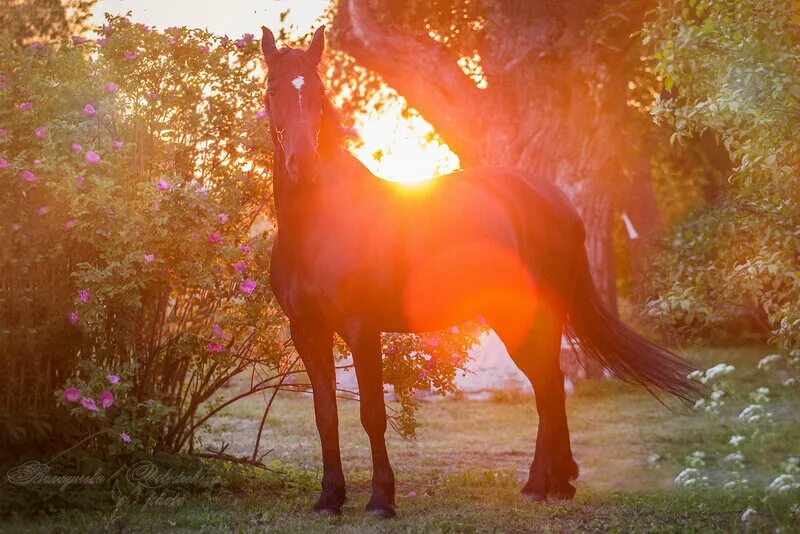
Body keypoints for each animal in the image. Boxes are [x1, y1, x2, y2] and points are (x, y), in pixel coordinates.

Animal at [260, 24, 696, 520]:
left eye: (316, 92)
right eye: (273, 90)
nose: (303, 162)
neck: (321, 224)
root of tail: (555, 201)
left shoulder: (361, 327)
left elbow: (372, 413)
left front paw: (381, 500)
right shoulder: (307, 331)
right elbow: (325, 415)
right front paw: (329, 498)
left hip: (528, 315)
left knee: (548, 384)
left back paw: (544, 484)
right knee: (549, 383)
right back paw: (551, 483)